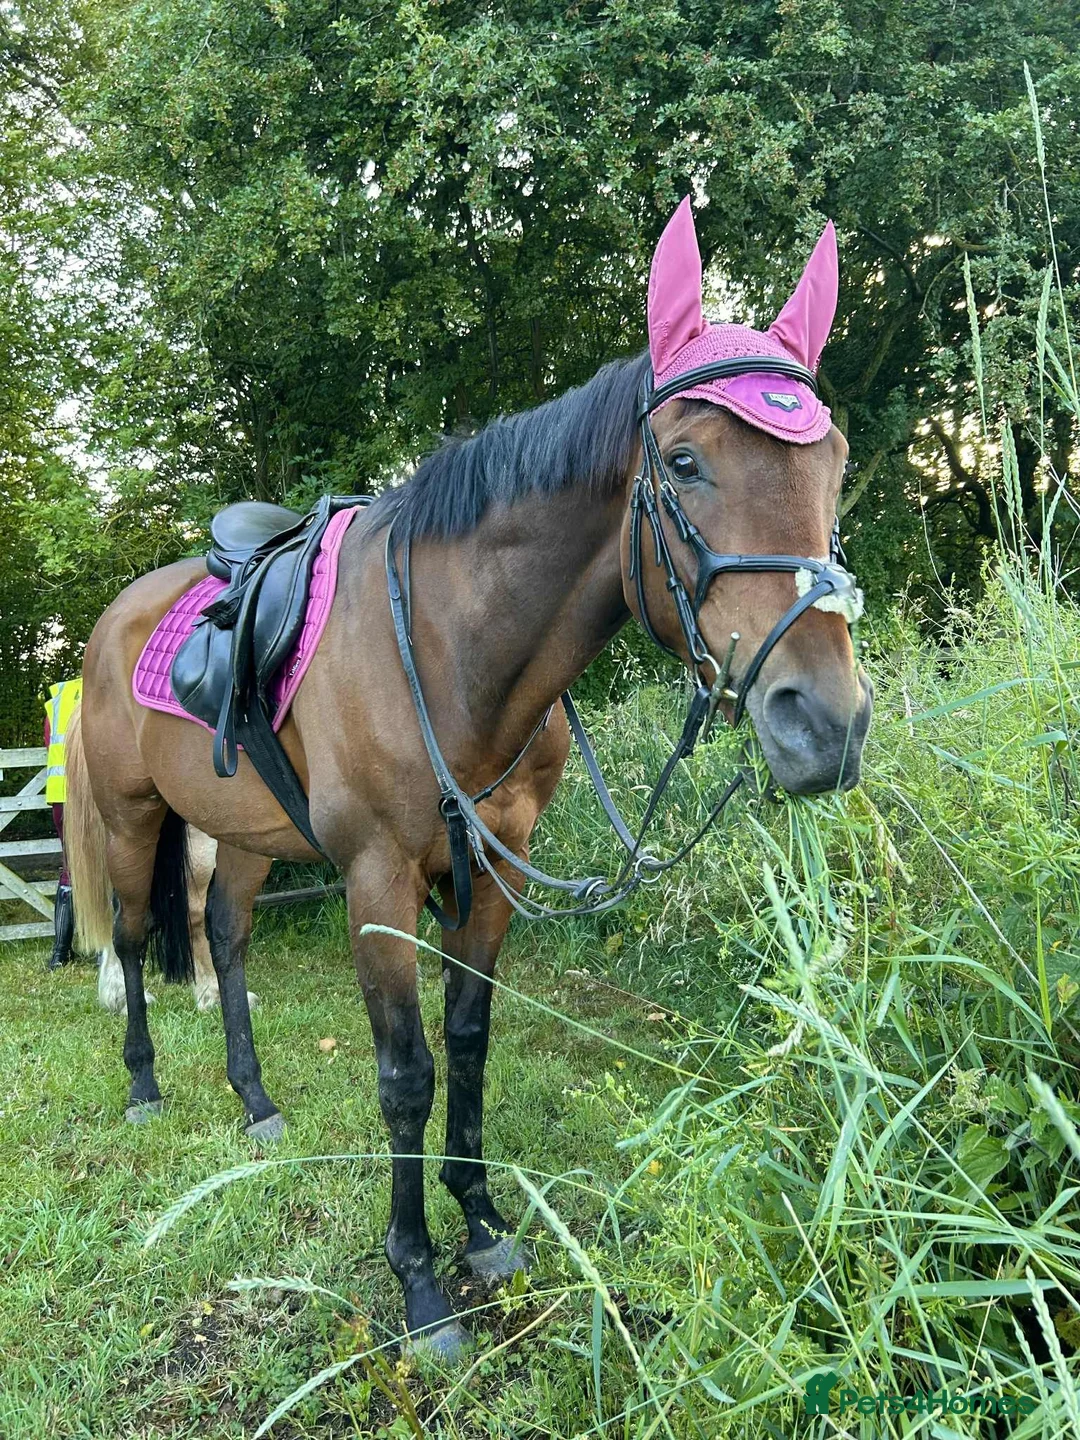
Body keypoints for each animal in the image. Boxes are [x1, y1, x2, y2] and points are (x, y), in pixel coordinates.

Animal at [66, 199, 872, 1358]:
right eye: (682, 461)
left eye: (834, 461)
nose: (828, 723)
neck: (452, 646)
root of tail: (118, 615)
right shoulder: (376, 881)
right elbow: (406, 1075)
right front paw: (417, 1282)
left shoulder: (495, 871)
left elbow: (470, 1040)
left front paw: (483, 1222)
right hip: (134, 821)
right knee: (133, 940)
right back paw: (145, 1086)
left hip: (250, 837)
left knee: (225, 933)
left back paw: (254, 1099)